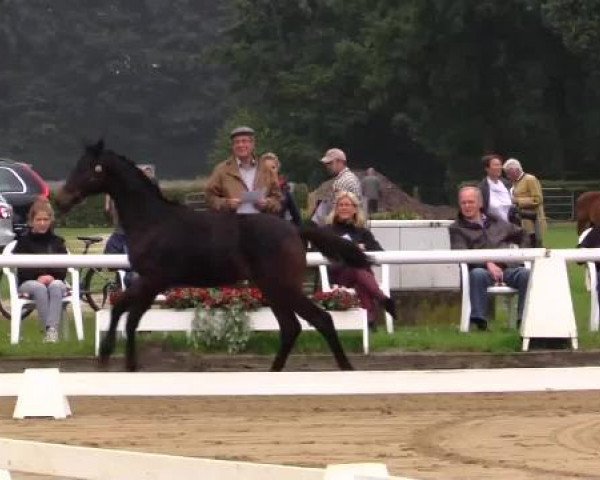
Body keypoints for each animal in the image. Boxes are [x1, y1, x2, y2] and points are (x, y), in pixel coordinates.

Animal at [57, 140, 376, 372]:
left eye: (94, 168)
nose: (60, 200)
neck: (153, 221)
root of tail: (295, 229)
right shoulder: (148, 281)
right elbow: (125, 311)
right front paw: (120, 360)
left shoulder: (153, 279)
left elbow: (127, 313)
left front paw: (111, 357)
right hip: (273, 289)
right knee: (291, 327)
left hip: (281, 286)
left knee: (320, 320)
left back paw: (345, 369)